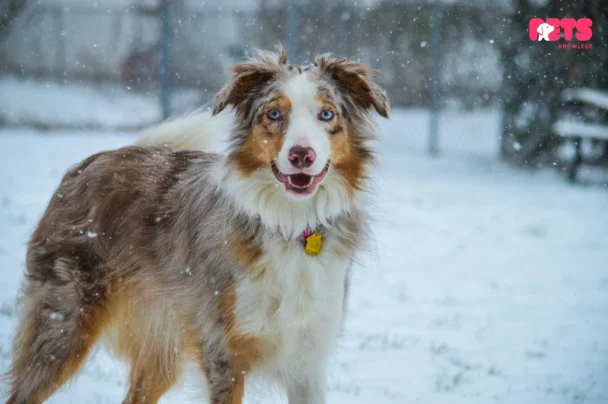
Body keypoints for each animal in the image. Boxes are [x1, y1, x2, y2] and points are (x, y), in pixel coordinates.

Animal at [5, 49, 390, 402]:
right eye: (274, 114)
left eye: (327, 114)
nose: (301, 155)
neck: (290, 224)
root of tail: (89, 164)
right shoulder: (224, 353)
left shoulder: (308, 357)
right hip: (63, 325)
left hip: (161, 348)